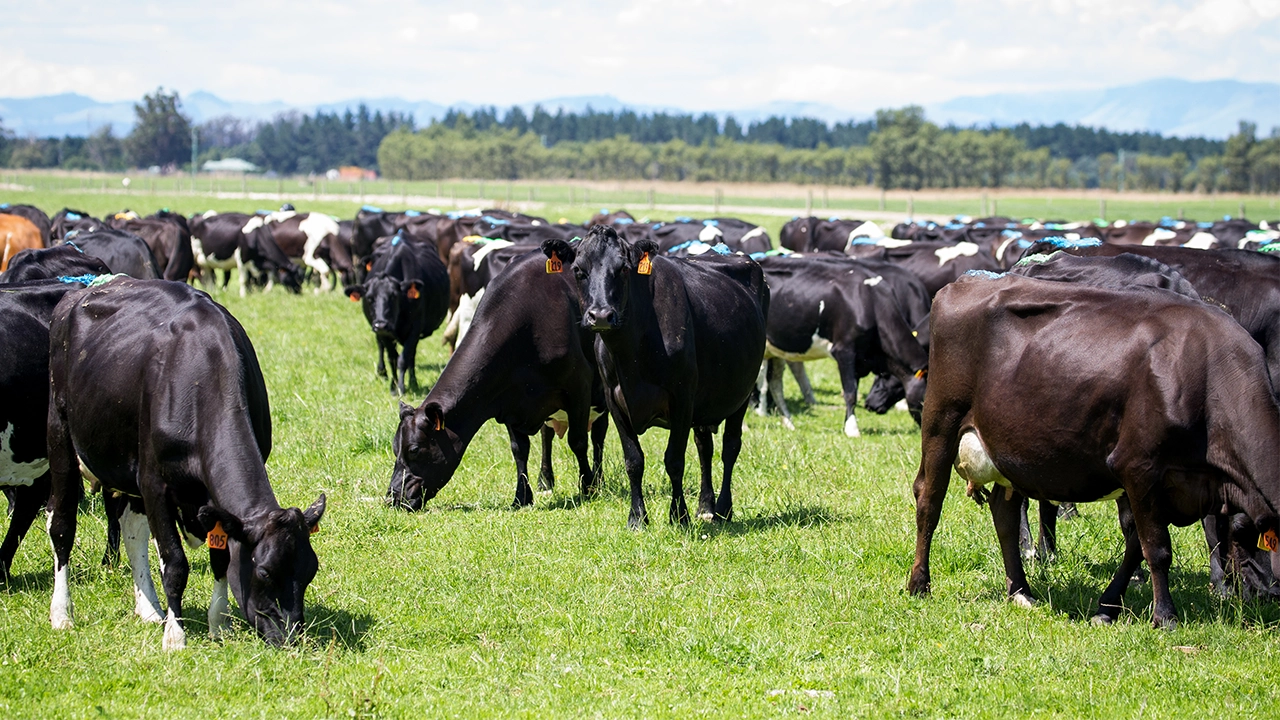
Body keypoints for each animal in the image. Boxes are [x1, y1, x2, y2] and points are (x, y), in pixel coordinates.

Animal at [48, 278, 330, 648]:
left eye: (310, 570)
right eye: (265, 571)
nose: (291, 638)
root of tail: (82, 289)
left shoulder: (215, 507)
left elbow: (221, 559)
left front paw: (218, 624)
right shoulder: (153, 483)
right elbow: (175, 563)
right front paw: (175, 635)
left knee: (133, 533)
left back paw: (149, 609)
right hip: (60, 436)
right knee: (62, 527)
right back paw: (62, 613)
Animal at [345, 234, 450, 392]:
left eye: (394, 296)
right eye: (369, 298)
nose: (381, 324)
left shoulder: (415, 328)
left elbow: (404, 358)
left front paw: (402, 386)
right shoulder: (384, 334)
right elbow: (392, 358)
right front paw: (394, 386)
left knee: (411, 356)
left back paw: (413, 382)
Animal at [386, 245, 611, 509]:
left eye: (414, 449)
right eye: (395, 449)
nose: (393, 496)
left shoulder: (579, 385)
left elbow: (578, 440)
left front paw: (588, 487)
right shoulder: (511, 400)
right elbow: (519, 449)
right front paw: (521, 497)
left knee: (598, 435)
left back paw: (599, 479)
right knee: (547, 435)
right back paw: (546, 480)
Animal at [563, 226, 768, 525]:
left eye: (624, 269)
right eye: (578, 270)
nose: (601, 315)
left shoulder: (682, 397)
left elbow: (674, 460)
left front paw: (679, 516)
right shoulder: (614, 400)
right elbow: (633, 460)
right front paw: (637, 517)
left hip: (742, 392)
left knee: (730, 447)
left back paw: (723, 508)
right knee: (704, 447)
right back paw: (705, 506)